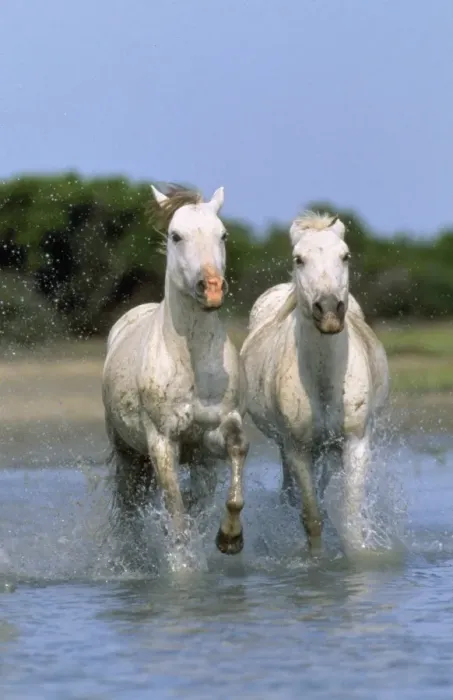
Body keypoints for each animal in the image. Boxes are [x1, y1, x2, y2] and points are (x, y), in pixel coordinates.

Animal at [102, 185, 249, 556]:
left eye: (223, 234)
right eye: (176, 235)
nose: (211, 288)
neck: (192, 359)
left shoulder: (211, 438)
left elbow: (237, 451)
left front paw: (230, 537)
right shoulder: (162, 442)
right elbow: (177, 513)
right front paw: (182, 565)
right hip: (127, 453)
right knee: (128, 507)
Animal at [240, 211, 389, 554]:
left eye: (345, 256)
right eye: (299, 259)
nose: (330, 310)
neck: (323, 382)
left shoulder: (354, 441)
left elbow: (349, 515)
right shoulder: (298, 449)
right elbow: (311, 517)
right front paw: (316, 562)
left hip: (329, 448)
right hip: (286, 446)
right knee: (291, 492)